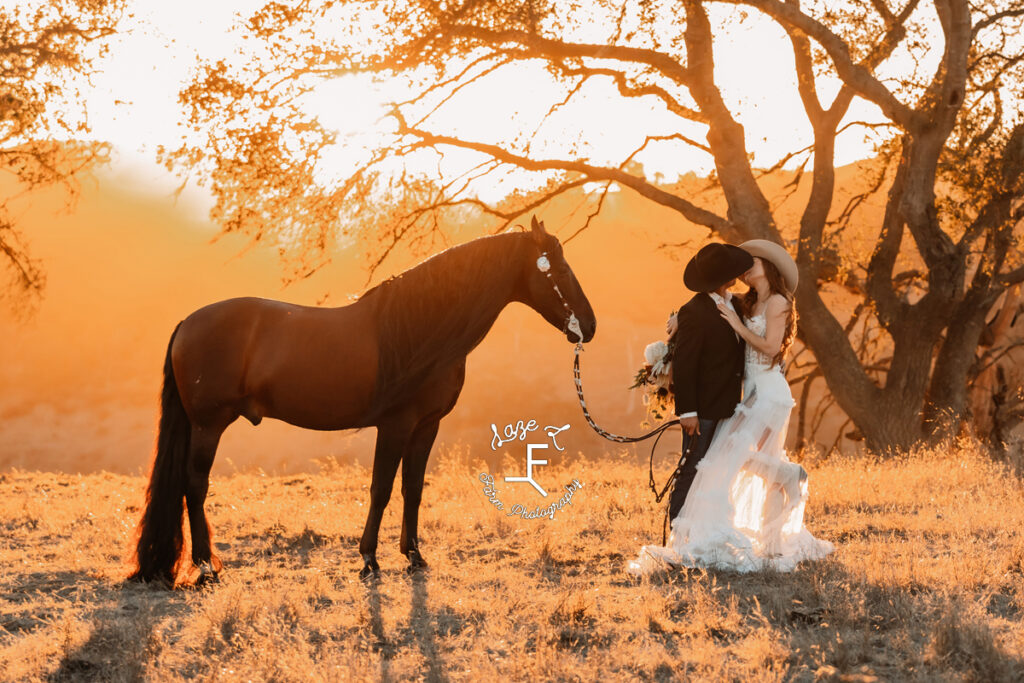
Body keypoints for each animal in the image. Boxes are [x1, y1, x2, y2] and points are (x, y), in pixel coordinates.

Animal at [125, 216, 598, 585]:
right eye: (559, 269)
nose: (589, 326)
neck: (421, 329)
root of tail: (188, 322)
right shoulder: (395, 425)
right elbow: (380, 489)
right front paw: (369, 559)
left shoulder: (426, 426)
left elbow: (412, 489)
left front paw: (414, 556)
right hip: (208, 425)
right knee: (195, 485)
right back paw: (206, 566)